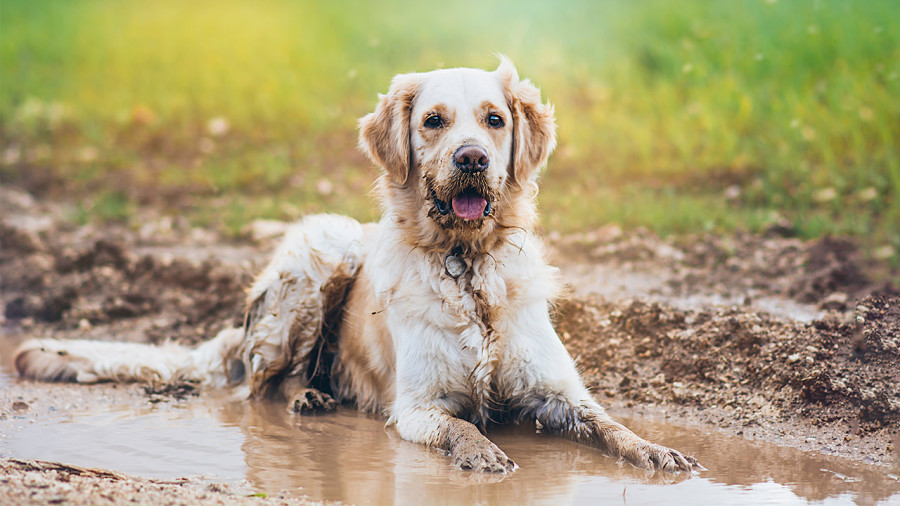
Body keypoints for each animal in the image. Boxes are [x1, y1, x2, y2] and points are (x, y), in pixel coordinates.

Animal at [15, 58, 704, 474]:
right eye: (433, 121)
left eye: (494, 119)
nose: (473, 158)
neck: (468, 269)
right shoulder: (419, 407)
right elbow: (463, 429)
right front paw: (484, 456)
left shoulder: (559, 394)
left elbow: (611, 424)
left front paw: (659, 451)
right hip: (321, 256)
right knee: (258, 387)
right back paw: (308, 397)